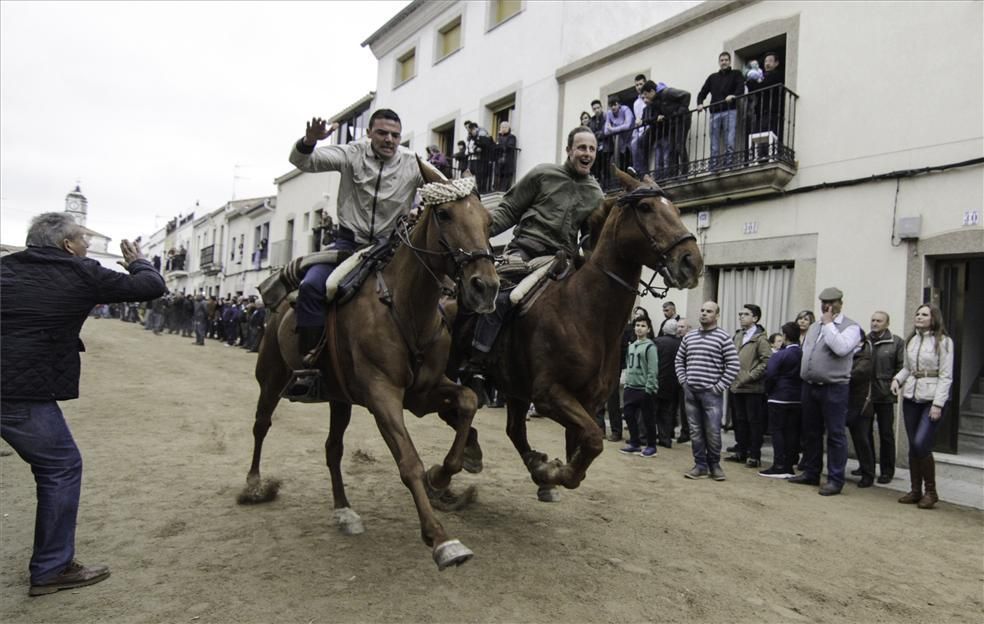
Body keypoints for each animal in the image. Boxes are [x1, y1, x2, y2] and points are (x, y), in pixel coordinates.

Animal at [239, 162, 500, 572]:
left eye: (489, 221)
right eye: (444, 214)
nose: (485, 287)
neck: (406, 306)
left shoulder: (423, 392)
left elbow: (469, 401)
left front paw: (442, 475)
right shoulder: (383, 396)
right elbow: (408, 461)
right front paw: (441, 539)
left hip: (339, 398)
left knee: (332, 449)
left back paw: (344, 510)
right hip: (271, 378)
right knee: (261, 425)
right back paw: (254, 485)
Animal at [474, 169, 700, 502]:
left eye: (677, 209)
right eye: (645, 207)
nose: (691, 261)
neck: (584, 310)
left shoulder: (587, 401)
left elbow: (583, 451)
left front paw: (548, 471)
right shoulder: (549, 394)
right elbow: (593, 440)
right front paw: (552, 471)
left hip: (513, 386)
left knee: (513, 428)